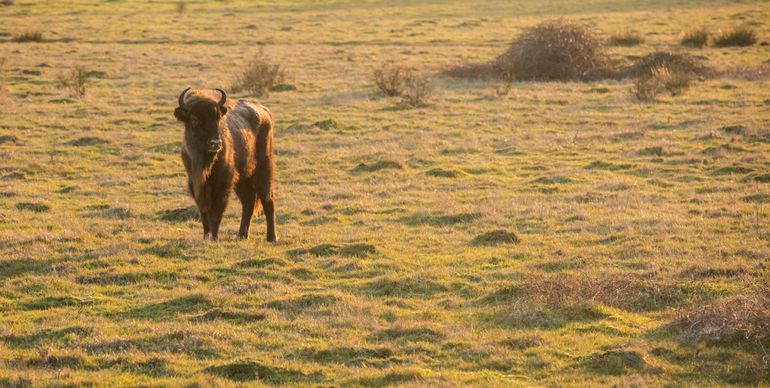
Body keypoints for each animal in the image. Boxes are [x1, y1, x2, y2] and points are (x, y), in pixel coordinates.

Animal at [173, 87, 276, 241]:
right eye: (194, 119)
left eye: (218, 118)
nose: (216, 143)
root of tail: (264, 110)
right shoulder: (196, 184)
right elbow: (204, 213)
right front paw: (206, 237)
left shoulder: (223, 182)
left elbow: (216, 213)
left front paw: (214, 238)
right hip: (242, 179)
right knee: (248, 202)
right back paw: (242, 235)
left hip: (263, 170)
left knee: (268, 200)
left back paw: (272, 238)